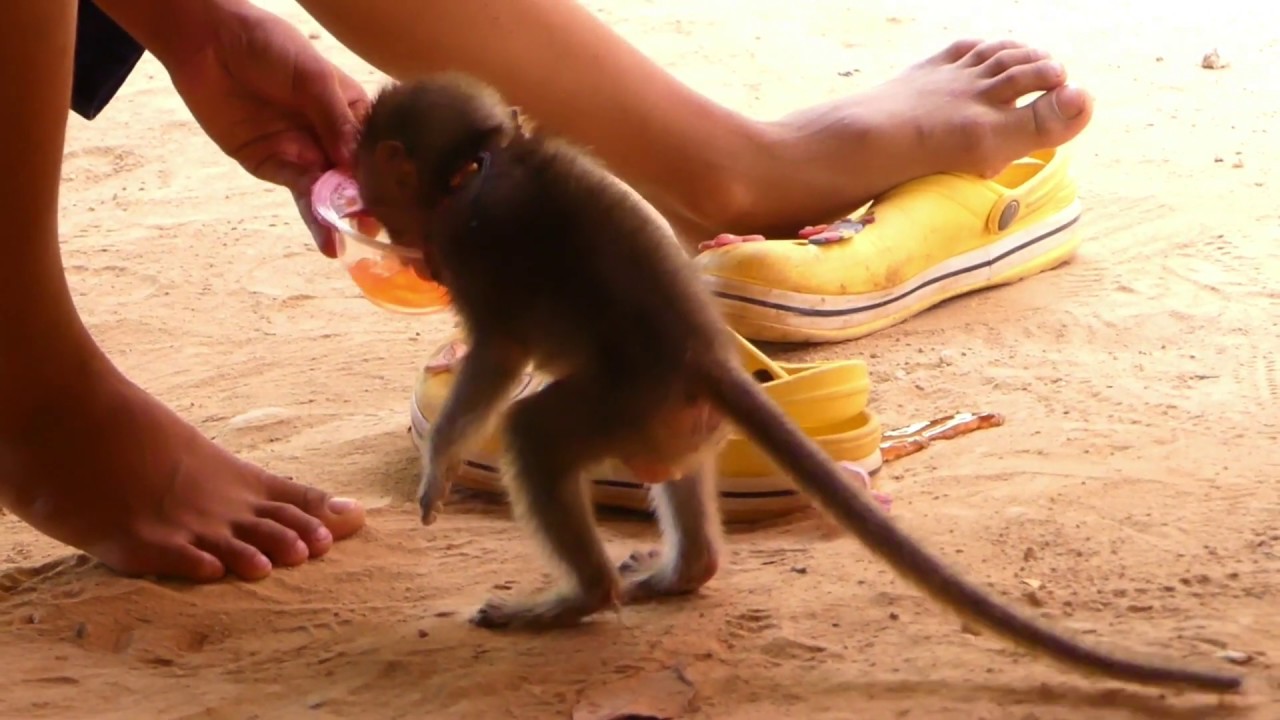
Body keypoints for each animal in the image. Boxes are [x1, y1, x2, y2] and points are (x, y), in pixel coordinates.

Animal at [351, 73, 1243, 694]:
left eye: (372, 177)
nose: (358, 204)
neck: (480, 161)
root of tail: (705, 356)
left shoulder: (467, 244)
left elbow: (498, 356)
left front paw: (438, 464)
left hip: (627, 401)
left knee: (535, 434)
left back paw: (579, 596)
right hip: (674, 417)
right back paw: (683, 573)